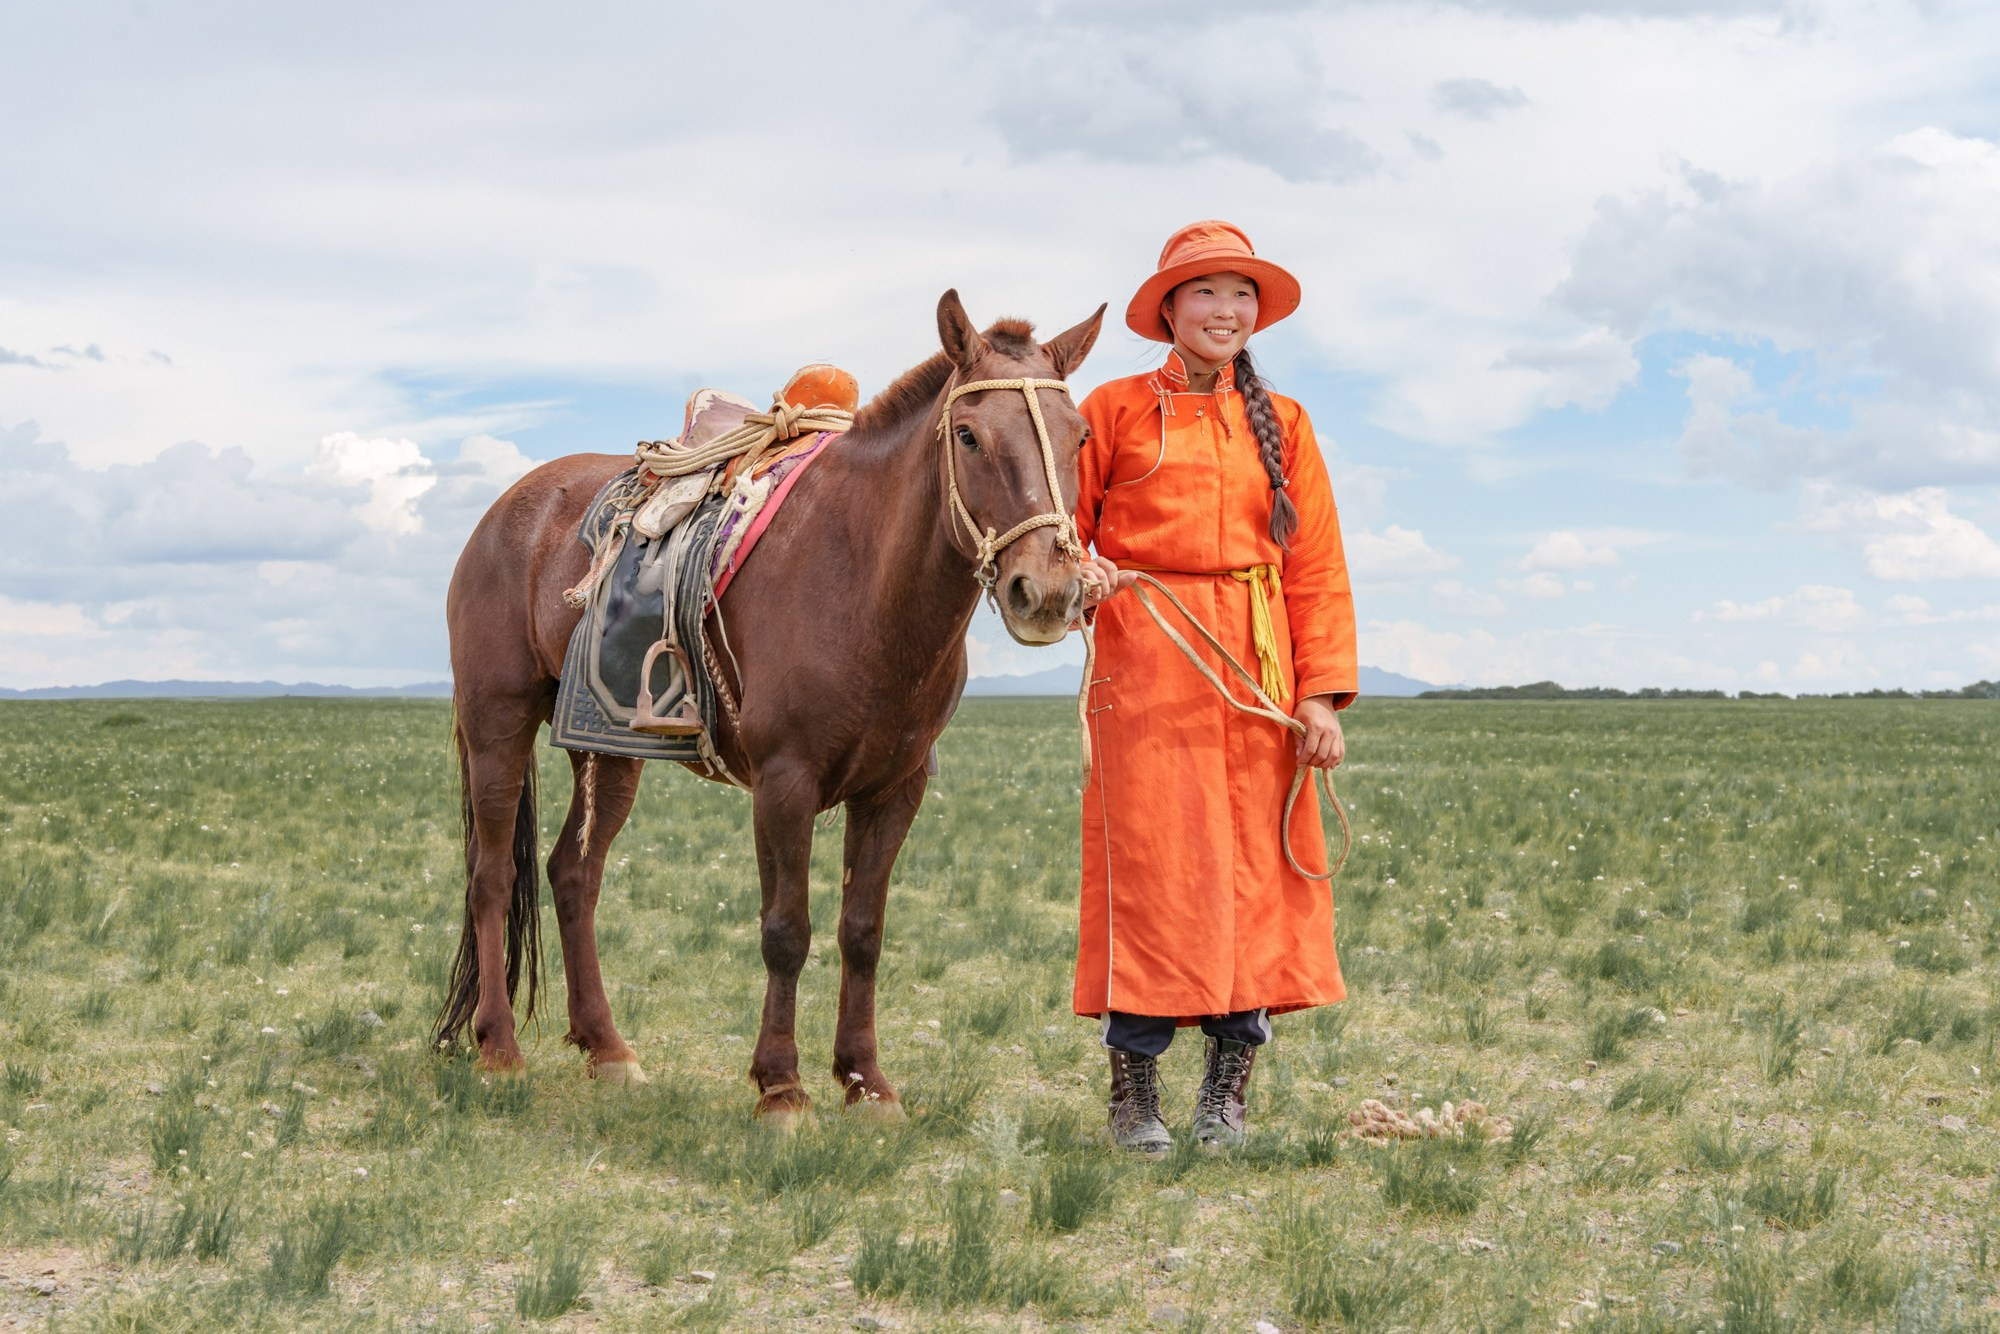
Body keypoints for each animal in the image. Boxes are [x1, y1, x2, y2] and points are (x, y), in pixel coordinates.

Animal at [432, 291, 1104, 1120]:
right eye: (970, 435)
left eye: (1080, 437)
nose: (1047, 592)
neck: (863, 577)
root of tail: (506, 510)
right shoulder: (786, 783)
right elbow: (787, 929)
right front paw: (781, 1087)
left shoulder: (896, 789)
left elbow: (863, 930)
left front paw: (865, 1080)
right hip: (497, 720)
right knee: (494, 874)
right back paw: (498, 1047)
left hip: (609, 746)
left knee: (572, 875)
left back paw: (608, 1048)